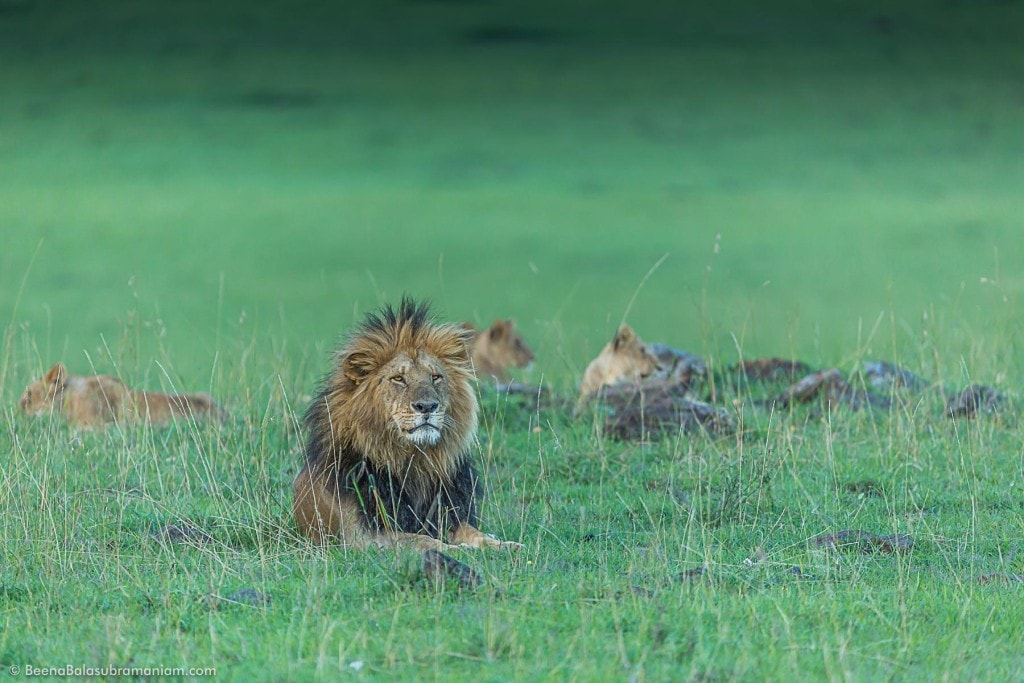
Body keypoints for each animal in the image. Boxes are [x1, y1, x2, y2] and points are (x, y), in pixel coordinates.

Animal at [296, 296, 520, 548]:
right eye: (398, 379)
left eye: (435, 377)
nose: (427, 406)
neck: (415, 462)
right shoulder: (362, 536)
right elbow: (422, 540)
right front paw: (458, 550)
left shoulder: (450, 517)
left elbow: (477, 534)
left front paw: (508, 547)